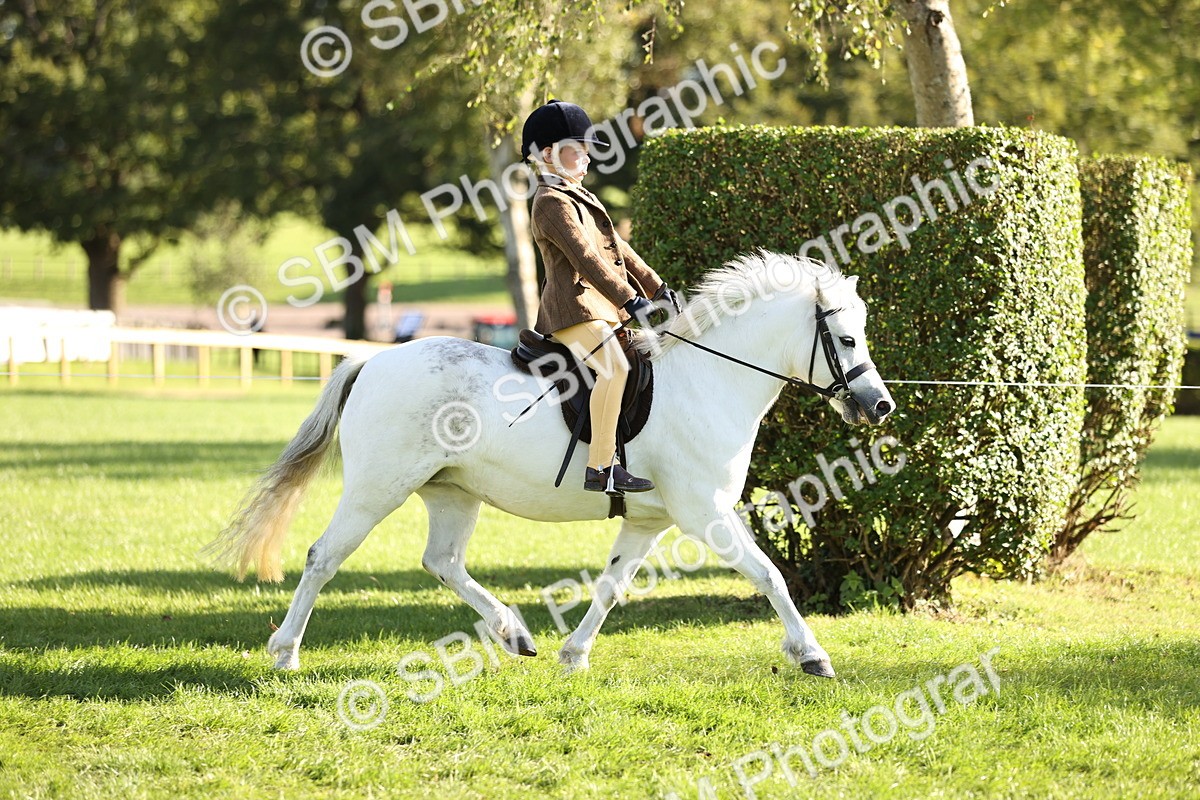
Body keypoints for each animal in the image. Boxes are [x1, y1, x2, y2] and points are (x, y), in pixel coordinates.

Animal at [208, 252, 896, 678]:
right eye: (846, 338)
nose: (880, 405)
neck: (709, 379)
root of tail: (373, 359)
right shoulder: (705, 513)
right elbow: (771, 576)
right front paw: (812, 655)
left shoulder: (649, 520)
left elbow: (612, 586)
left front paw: (574, 654)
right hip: (378, 490)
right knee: (324, 557)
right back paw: (285, 653)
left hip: (452, 492)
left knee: (442, 562)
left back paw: (515, 633)